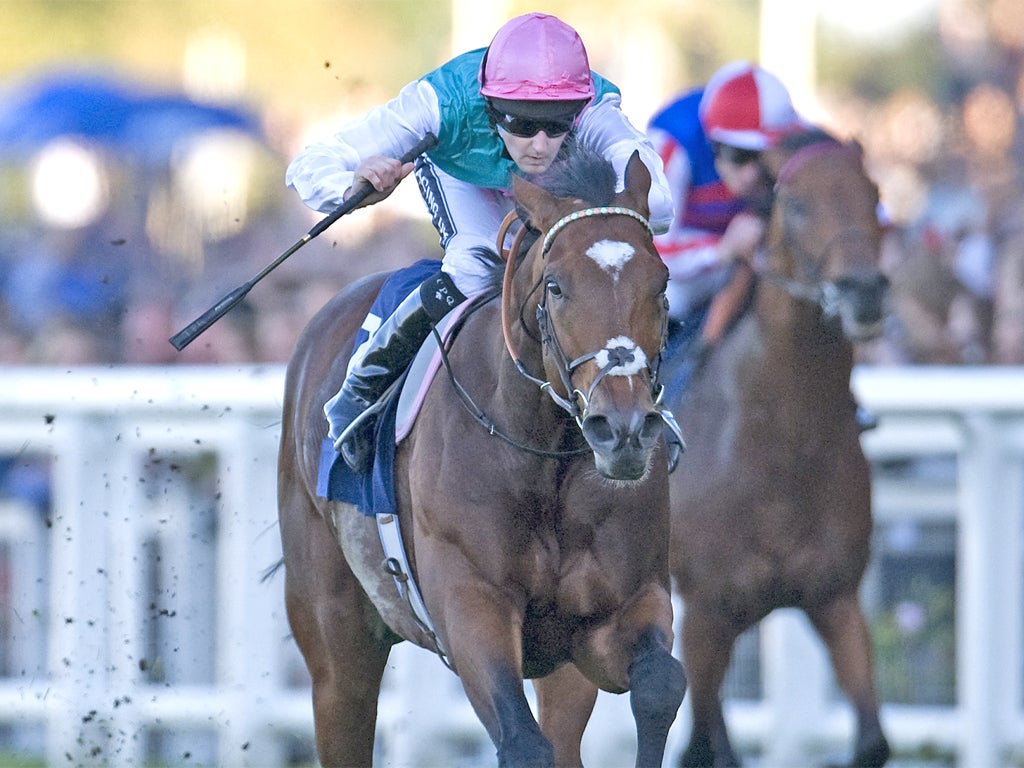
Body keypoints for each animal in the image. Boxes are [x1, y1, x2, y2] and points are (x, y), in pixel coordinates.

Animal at [276, 150, 684, 768]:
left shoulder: (611, 615)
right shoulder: (471, 606)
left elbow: (661, 685)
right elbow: (523, 743)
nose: (624, 431)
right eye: (556, 287)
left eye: (660, 283)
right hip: (335, 643)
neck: (545, 454)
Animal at [667, 129, 892, 765]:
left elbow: (872, 740)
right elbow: (708, 749)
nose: (864, 291)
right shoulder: (705, 614)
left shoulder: (835, 597)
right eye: (795, 205)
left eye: (874, 194)